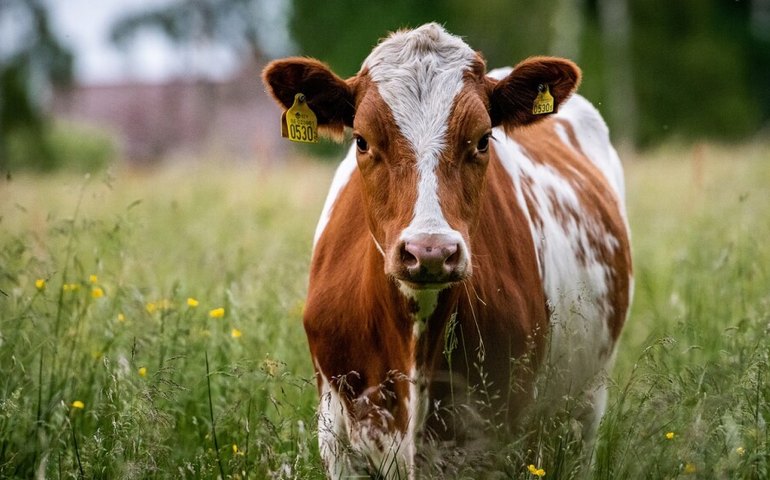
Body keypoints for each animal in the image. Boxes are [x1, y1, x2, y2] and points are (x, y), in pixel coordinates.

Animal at [263, 23, 632, 478]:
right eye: (362, 141)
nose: (430, 251)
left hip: (584, 408)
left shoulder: (499, 442)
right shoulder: (338, 441)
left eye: (483, 139)